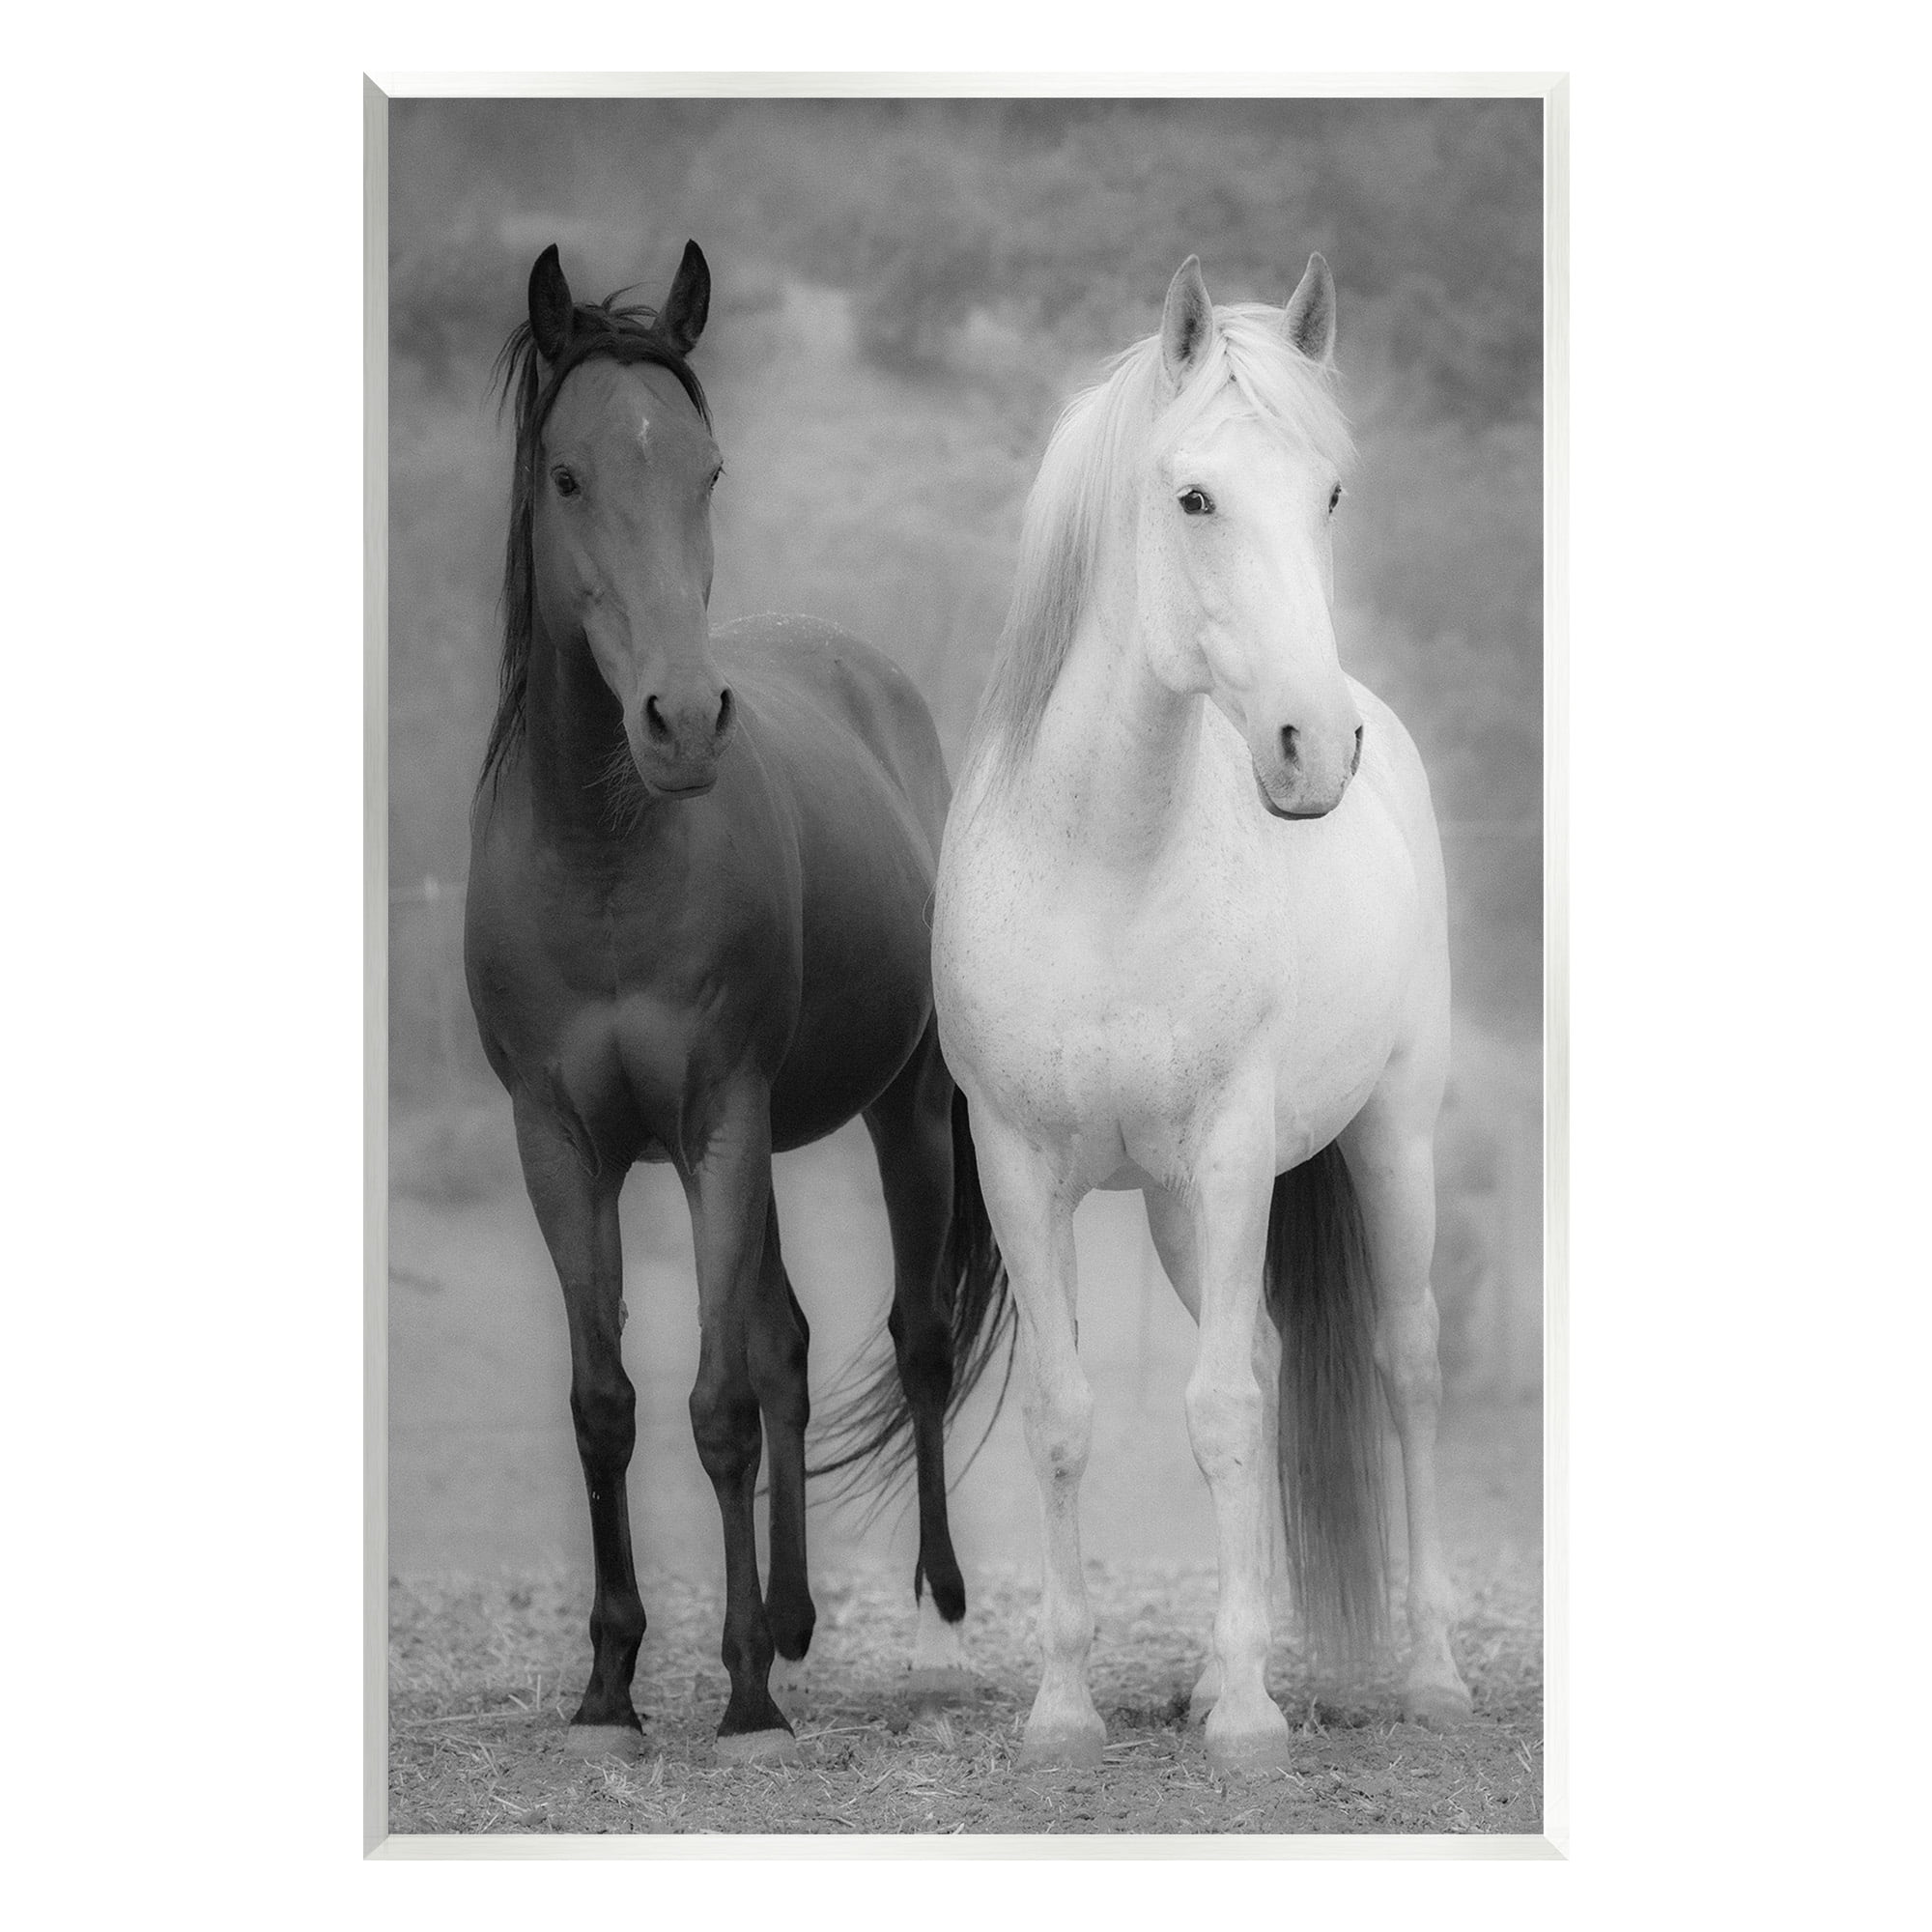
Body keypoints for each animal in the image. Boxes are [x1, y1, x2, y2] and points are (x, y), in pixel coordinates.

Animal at [462, 238, 1009, 1762]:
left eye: (706, 469)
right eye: (568, 474)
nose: (684, 720)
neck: (605, 853)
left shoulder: (719, 1118)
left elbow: (713, 1406)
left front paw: (745, 1688)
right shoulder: (559, 1144)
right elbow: (609, 1405)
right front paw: (611, 1678)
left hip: (897, 1117)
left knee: (912, 1343)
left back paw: (928, 1609)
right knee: (792, 1352)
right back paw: (797, 1615)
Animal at [927, 253, 1476, 1774]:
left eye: (1329, 494)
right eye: (1193, 498)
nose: (1311, 746)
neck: (1103, 861)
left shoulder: (1233, 1152)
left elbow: (1221, 1411)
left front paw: (1243, 1717)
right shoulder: (1022, 1166)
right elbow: (1067, 1417)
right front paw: (1067, 1708)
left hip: (1387, 1139)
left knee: (1405, 1369)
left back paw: (1429, 1673)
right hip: (1179, 1210)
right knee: (1280, 1360)